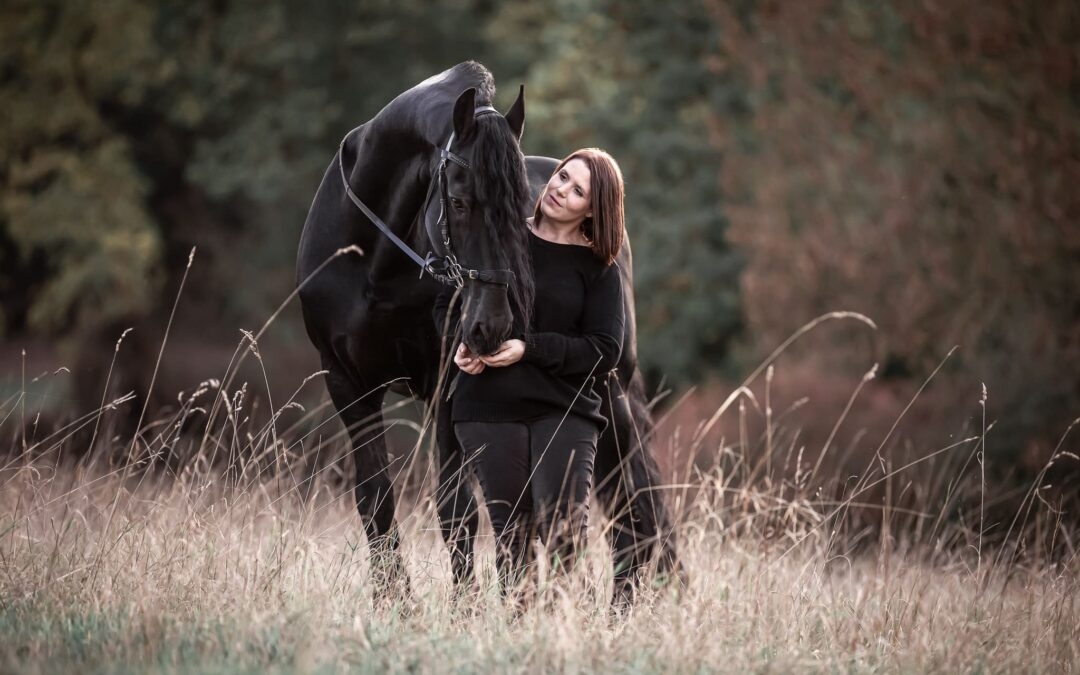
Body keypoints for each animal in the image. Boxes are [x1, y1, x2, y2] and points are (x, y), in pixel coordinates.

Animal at [295, 61, 678, 600]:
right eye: (457, 201)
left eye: (522, 207)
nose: (491, 326)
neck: (375, 265)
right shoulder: (349, 385)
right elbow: (375, 502)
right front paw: (395, 602)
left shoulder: (446, 386)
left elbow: (456, 510)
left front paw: (464, 606)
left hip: (611, 383)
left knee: (632, 498)